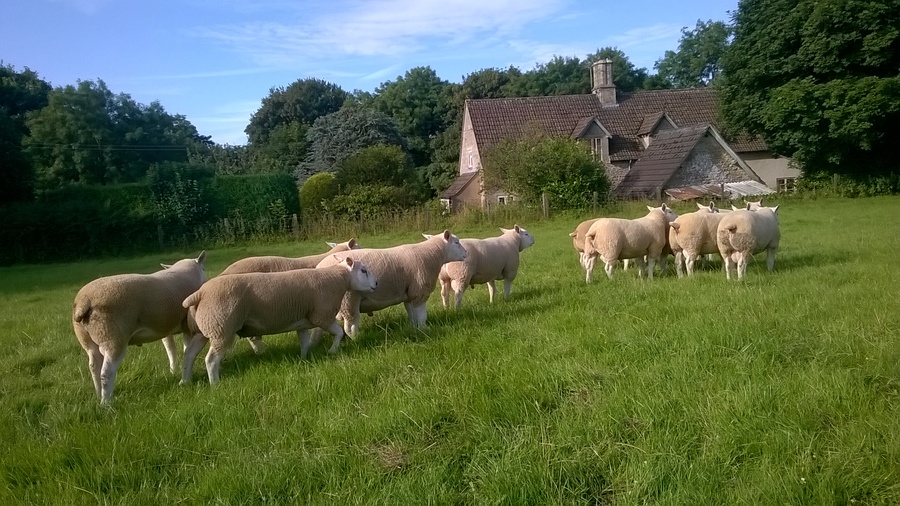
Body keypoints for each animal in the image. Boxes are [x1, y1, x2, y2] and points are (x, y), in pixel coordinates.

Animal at [71, 252, 208, 404]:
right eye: (203, 268)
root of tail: (84, 300)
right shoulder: (186, 327)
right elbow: (186, 349)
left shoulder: (164, 327)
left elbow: (170, 350)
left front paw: (173, 371)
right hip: (113, 338)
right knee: (106, 372)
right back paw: (106, 402)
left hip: (87, 339)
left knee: (94, 367)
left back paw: (98, 394)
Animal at [181, 256, 378, 384]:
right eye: (363, 270)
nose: (376, 284)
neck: (337, 278)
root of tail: (200, 293)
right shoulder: (322, 315)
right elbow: (339, 333)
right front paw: (332, 351)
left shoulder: (302, 322)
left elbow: (304, 342)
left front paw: (304, 359)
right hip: (222, 328)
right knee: (211, 360)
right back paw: (215, 384)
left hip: (206, 328)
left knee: (189, 354)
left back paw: (185, 381)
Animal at [314, 231, 468, 338]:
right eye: (456, 242)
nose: (466, 253)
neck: (432, 256)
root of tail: (319, 267)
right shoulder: (419, 291)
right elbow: (422, 316)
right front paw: (425, 330)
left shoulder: (409, 293)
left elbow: (412, 315)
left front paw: (415, 329)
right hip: (349, 299)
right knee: (350, 327)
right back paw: (357, 340)